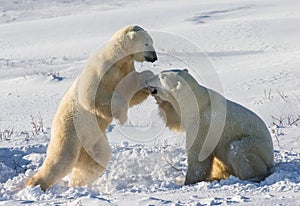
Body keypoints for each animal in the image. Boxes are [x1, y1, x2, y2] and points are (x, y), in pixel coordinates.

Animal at [26, 25, 157, 191]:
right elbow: (91, 96)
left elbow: (132, 91)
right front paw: (121, 116)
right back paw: (35, 185)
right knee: (61, 160)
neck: (115, 59)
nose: (154, 57)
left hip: (94, 141)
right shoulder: (100, 70)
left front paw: (150, 83)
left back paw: (78, 184)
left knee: (96, 160)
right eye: (147, 43)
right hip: (71, 133)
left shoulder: (125, 70)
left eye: (151, 42)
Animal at [146, 69, 276, 185]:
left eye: (162, 77)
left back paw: (251, 177)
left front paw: (188, 181)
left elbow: (198, 153)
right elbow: (176, 119)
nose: (148, 82)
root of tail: (271, 161)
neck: (198, 103)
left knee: (237, 150)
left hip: (258, 148)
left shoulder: (204, 124)